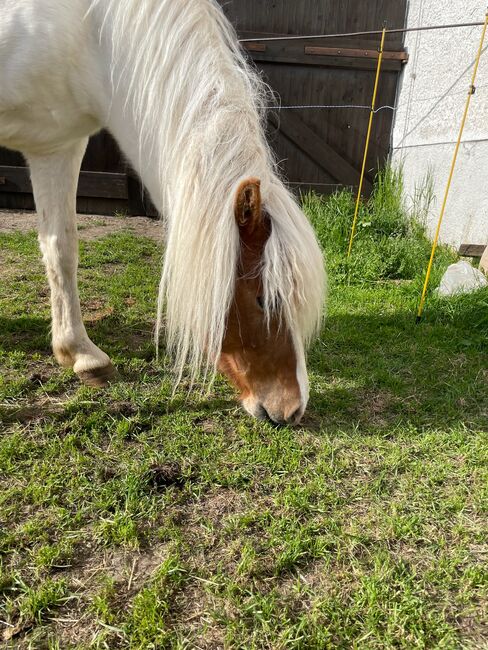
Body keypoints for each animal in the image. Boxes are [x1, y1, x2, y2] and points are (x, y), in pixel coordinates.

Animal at [0, 0, 328, 422]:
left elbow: (62, 249)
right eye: (263, 300)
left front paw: (81, 354)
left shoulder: (56, 145)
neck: (90, 35)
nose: (292, 410)